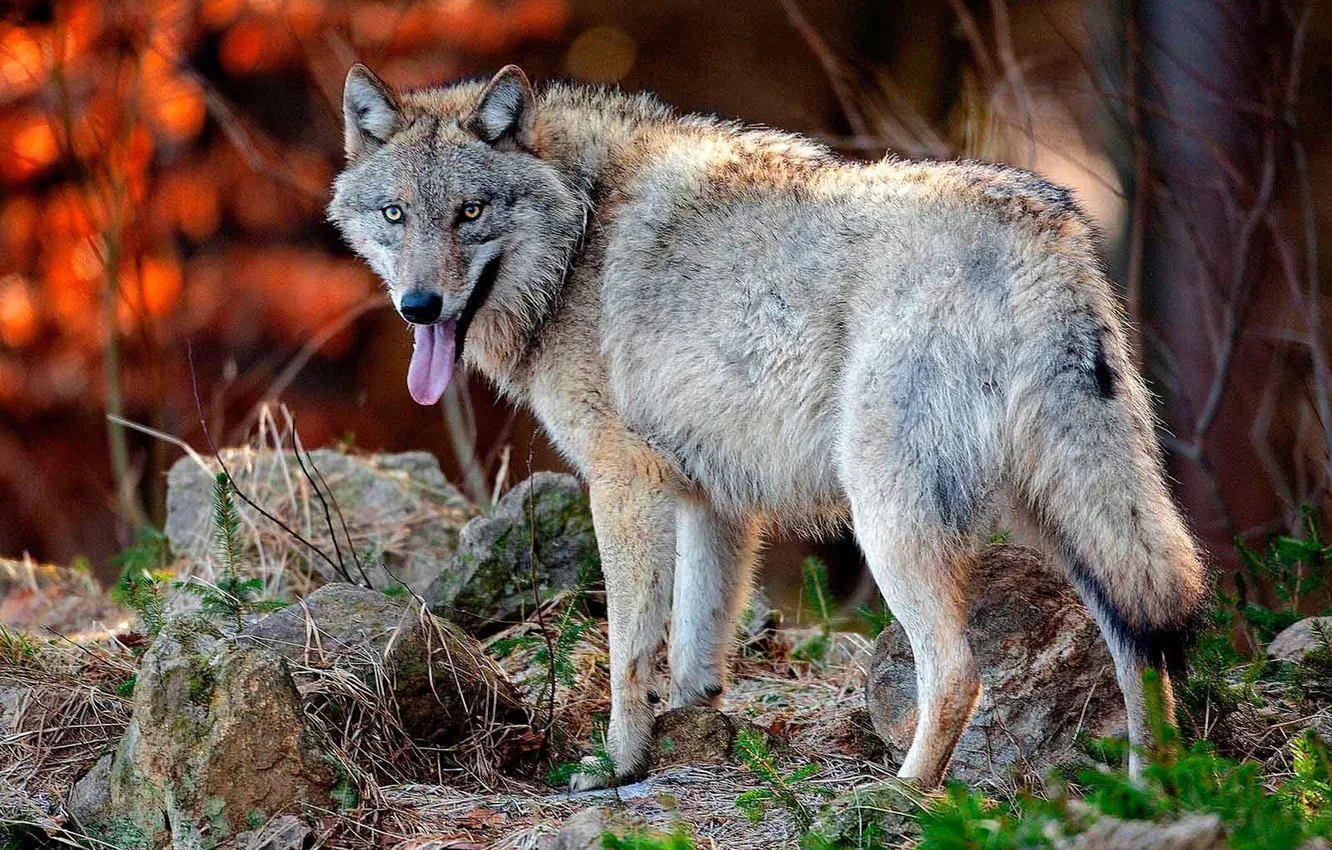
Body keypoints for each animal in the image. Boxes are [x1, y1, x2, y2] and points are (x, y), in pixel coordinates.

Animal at [328, 63, 1208, 789]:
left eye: (470, 212)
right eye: (396, 214)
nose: (419, 307)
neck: (578, 233)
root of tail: (1046, 233)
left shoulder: (624, 485)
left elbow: (628, 650)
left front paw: (616, 764)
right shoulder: (711, 502)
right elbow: (696, 643)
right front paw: (689, 730)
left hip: (891, 522)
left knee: (960, 672)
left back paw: (901, 795)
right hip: (1068, 520)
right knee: (1142, 651)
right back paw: (1154, 793)